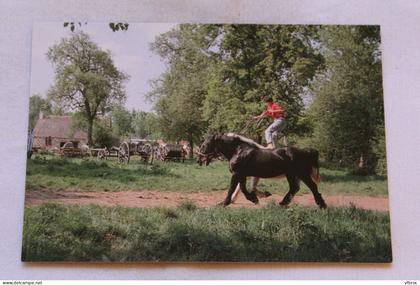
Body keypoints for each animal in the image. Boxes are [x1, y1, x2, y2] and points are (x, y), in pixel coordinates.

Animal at [197, 132, 328, 207]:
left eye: (206, 143)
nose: (199, 159)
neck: (238, 151)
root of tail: (306, 151)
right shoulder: (242, 175)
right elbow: (243, 189)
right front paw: (254, 199)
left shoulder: (237, 173)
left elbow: (232, 189)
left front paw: (224, 203)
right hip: (291, 174)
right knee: (295, 188)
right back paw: (282, 203)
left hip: (301, 173)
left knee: (311, 187)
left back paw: (321, 205)